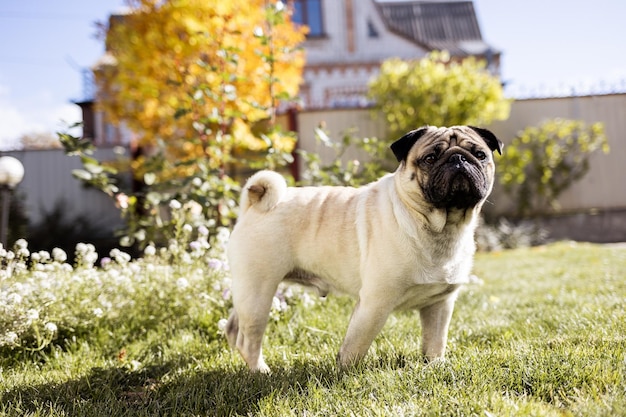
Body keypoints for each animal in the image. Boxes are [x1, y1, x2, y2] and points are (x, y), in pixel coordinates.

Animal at [222, 124, 500, 370]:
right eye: (430, 158)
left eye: (480, 155)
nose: (458, 159)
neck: (440, 226)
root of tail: (254, 202)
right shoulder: (374, 303)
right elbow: (356, 344)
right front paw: (344, 374)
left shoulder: (440, 304)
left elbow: (435, 341)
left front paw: (434, 366)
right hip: (258, 292)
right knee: (248, 339)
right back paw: (261, 372)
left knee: (234, 329)